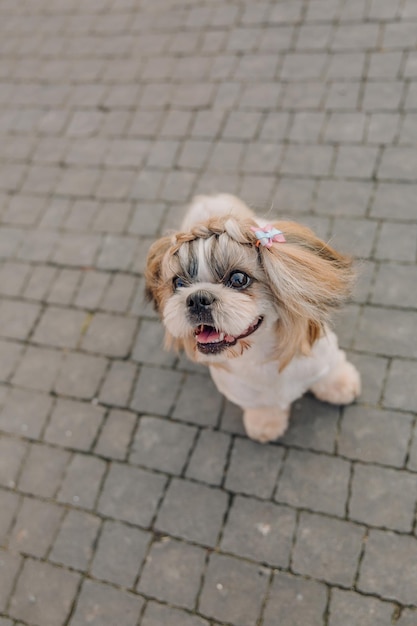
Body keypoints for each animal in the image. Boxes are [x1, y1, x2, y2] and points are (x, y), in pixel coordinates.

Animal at [145, 193, 360, 442]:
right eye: (178, 283)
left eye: (239, 279)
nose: (198, 298)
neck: (261, 354)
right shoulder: (242, 391)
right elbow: (262, 406)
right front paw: (266, 423)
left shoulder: (321, 354)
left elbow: (330, 368)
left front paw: (340, 385)